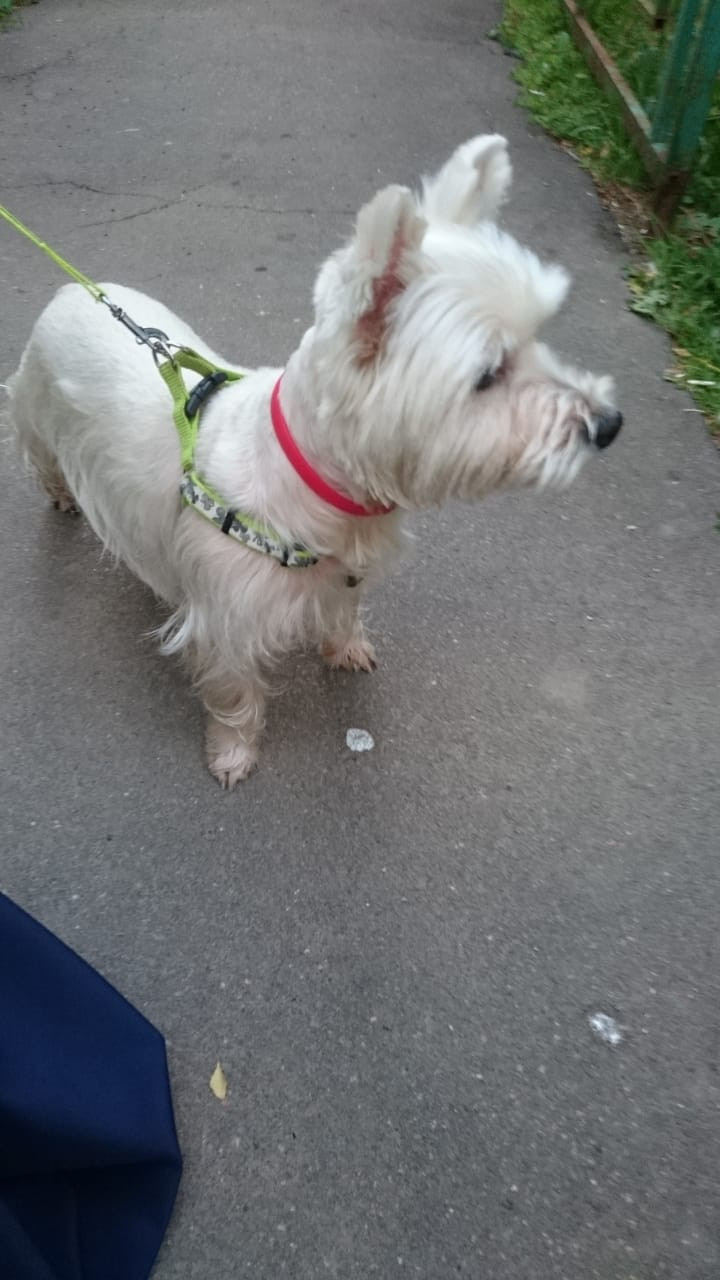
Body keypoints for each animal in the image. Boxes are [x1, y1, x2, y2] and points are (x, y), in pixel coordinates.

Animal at [7, 135, 617, 783]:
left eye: (538, 339)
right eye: (488, 373)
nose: (608, 425)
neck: (331, 495)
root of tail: (71, 290)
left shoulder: (347, 571)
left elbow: (344, 613)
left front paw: (345, 649)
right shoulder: (225, 620)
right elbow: (234, 690)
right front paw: (233, 752)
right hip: (36, 406)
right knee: (40, 454)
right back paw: (62, 494)